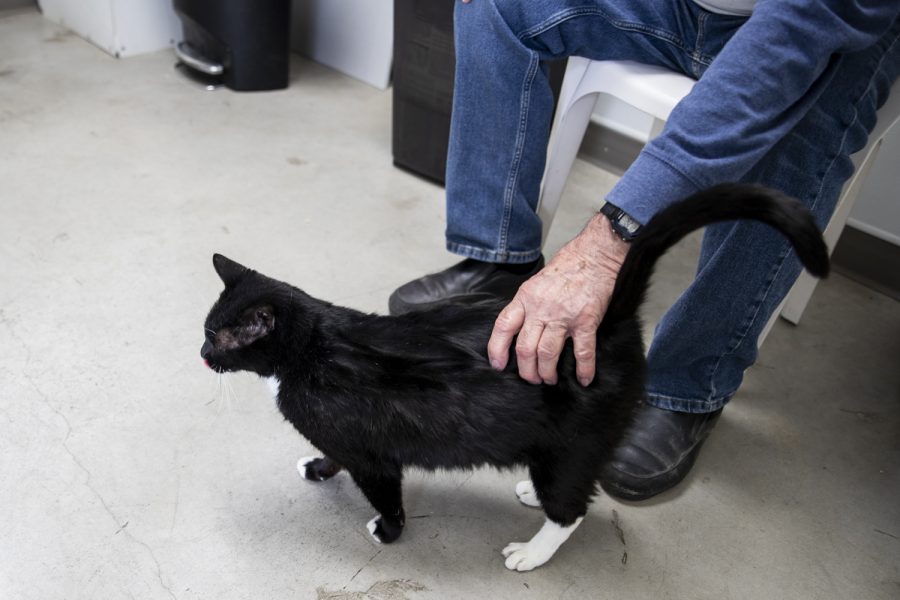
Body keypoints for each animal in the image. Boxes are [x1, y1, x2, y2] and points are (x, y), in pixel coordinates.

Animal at [200, 184, 828, 572]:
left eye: (216, 337)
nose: (202, 355)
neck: (313, 344)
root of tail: (606, 322)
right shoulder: (345, 439)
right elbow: (334, 456)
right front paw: (317, 466)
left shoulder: (372, 453)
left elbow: (383, 488)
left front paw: (388, 529)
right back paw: (530, 493)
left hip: (575, 440)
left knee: (573, 509)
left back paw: (534, 549)